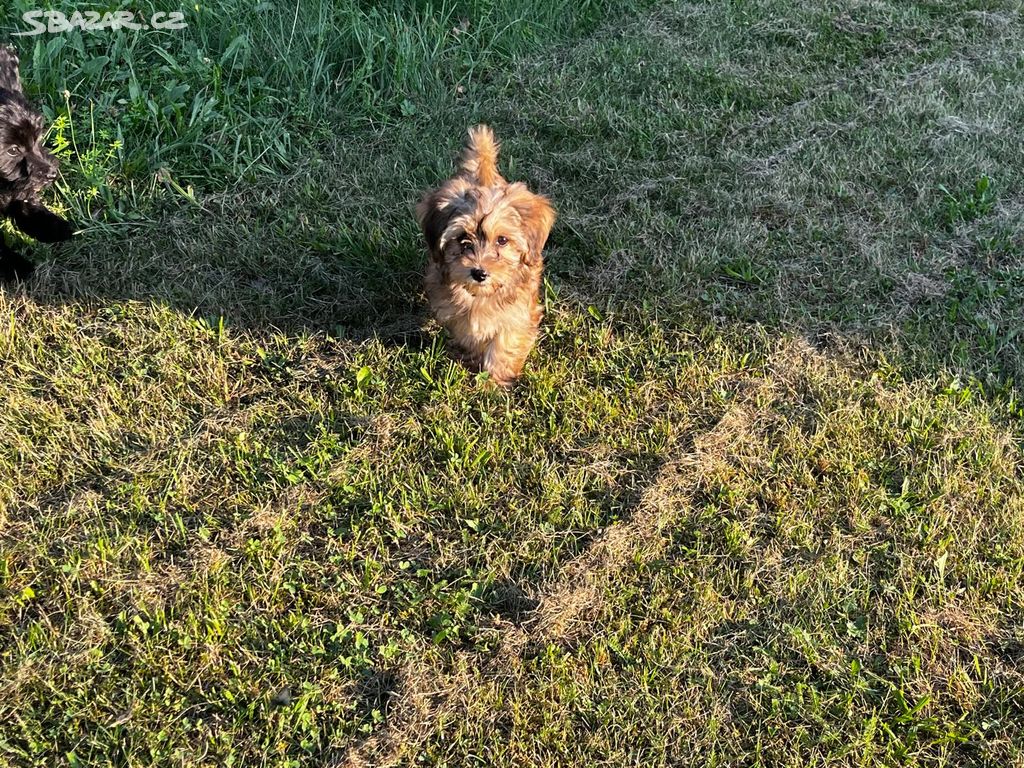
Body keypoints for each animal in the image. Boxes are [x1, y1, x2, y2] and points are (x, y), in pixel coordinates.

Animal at [0, 45, 73, 280]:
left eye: (37, 139)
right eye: (13, 150)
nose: (52, 173)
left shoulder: (18, 189)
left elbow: (25, 203)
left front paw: (53, 227)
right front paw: (16, 266)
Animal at [415, 128, 557, 387]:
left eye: (502, 240)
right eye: (463, 238)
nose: (479, 272)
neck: (482, 296)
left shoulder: (517, 313)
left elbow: (505, 342)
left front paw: (494, 382)